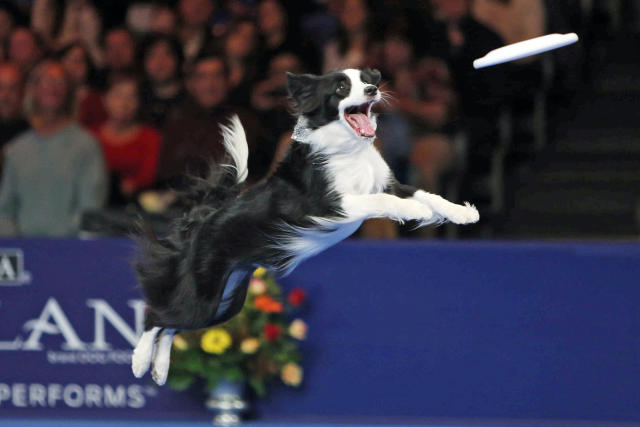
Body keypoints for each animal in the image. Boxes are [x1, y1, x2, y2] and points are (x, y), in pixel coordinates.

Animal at [132, 67, 478, 384]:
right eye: (341, 87)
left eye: (368, 80)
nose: (371, 90)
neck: (350, 150)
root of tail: (205, 218)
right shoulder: (331, 206)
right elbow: (383, 201)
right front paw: (415, 210)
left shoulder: (390, 184)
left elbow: (426, 193)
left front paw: (461, 213)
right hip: (205, 293)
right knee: (157, 316)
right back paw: (140, 361)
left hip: (226, 301)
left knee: (172, 325)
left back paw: (160, 370)